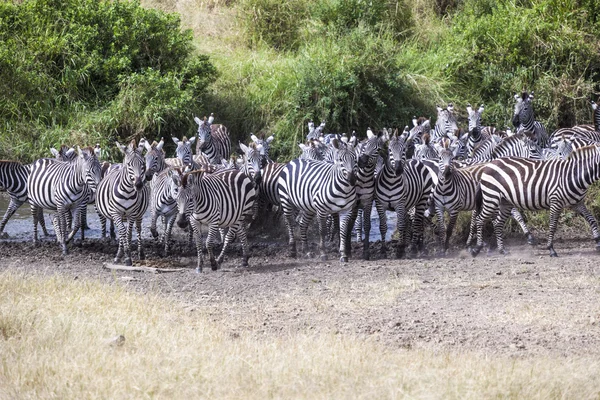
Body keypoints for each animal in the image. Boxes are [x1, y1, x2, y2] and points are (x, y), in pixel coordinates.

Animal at [372, 130, 434, 258]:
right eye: (390, 150)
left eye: (403, 150)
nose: (399, 170)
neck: (391, 182)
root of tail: (415, 160)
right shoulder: (380, 204)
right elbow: (383, 226)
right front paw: (383, 250)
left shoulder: (399, 204)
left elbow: (400, 225)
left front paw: (400, 249)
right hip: (408, 203)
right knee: (410, 222)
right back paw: (412, 244)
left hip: (422, 200)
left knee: (417, 222)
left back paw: (415, 247)